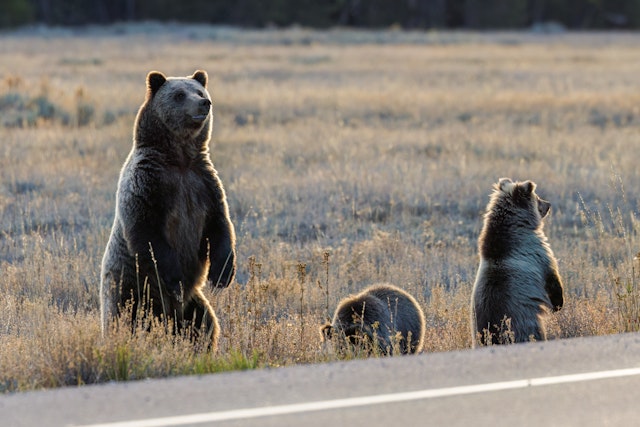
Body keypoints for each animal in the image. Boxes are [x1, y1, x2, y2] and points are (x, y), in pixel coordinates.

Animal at [100, 69, 236, 350]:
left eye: (200, 91)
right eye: (179, 94)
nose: (204, 103)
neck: (180, 159)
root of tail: (169, 314)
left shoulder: (203, 183)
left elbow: (220, 225)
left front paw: (222, 275)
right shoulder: (149, 184)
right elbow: (148, 233)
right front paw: (176, 280)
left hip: (192, 304)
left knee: (204, 323)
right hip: (132, 289)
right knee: (126, 320)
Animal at [470, 177, 564, 347]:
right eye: (537, 197)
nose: (548, 204)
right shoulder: (536, 252)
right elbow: (552, 275)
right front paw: (558, 304)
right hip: (525, 325)